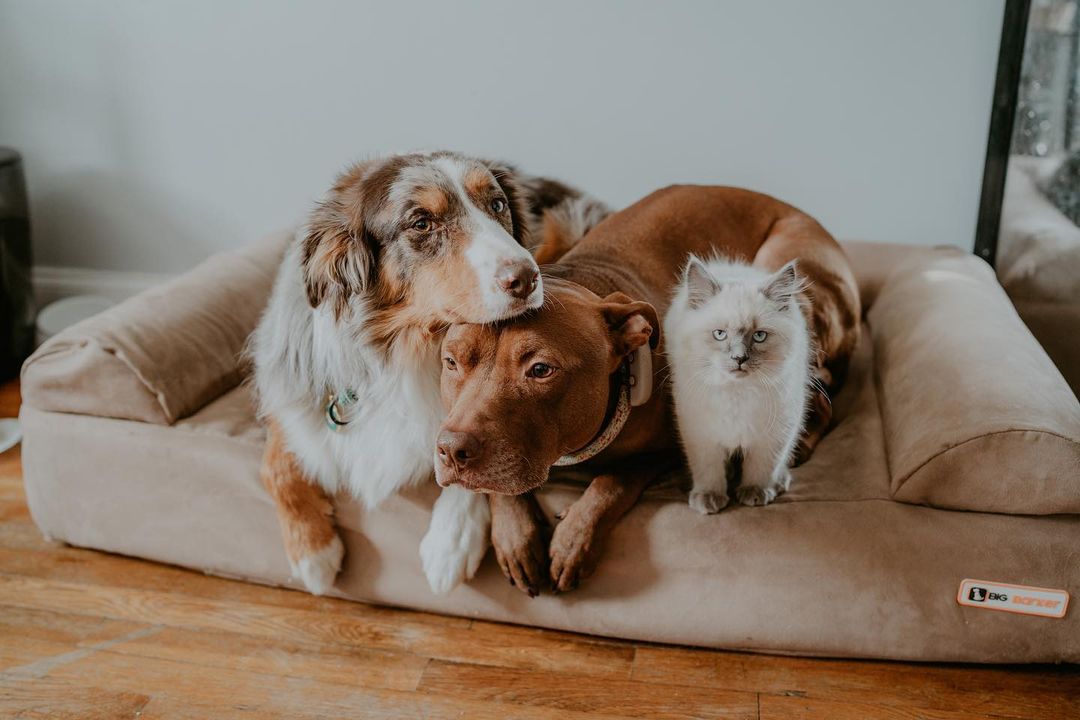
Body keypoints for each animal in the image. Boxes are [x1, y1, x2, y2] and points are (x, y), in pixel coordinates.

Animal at [665, 253, 812, 511]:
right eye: (720, 334)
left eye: (759, 336)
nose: (739, 358)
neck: (737, 392)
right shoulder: (700, 432)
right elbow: (708, 469)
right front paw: (709, 499)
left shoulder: (775, 433)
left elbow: (762, 467)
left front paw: (755, 493)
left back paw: (778, 483)